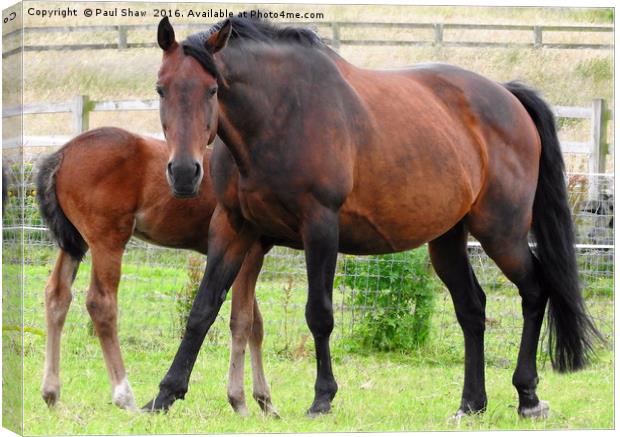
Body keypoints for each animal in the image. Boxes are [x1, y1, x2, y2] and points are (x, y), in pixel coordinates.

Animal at [34, 127, 276, 416]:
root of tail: (62, 153)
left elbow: (256, 325)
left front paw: (266, 402)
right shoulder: (249, 252)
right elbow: (244, 321)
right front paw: (243, 402)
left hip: (75, 242)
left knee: (57, 295)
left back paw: (51, 393)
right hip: (108, 239)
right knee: (100, 303)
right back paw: (125, 397)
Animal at [145, 16, 600, 418]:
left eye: (212, 89)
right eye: (161, 89)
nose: (183, 173)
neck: (279, 114)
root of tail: (508, 96)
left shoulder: (320, 227)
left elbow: (319, 314)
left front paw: (323, 398)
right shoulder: (233, 227)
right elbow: (202, 309)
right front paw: (164, 395)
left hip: (501, 234)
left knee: (535, 290)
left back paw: (528, 396)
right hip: (448, 240)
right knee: (472, 308)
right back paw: (471, 404)